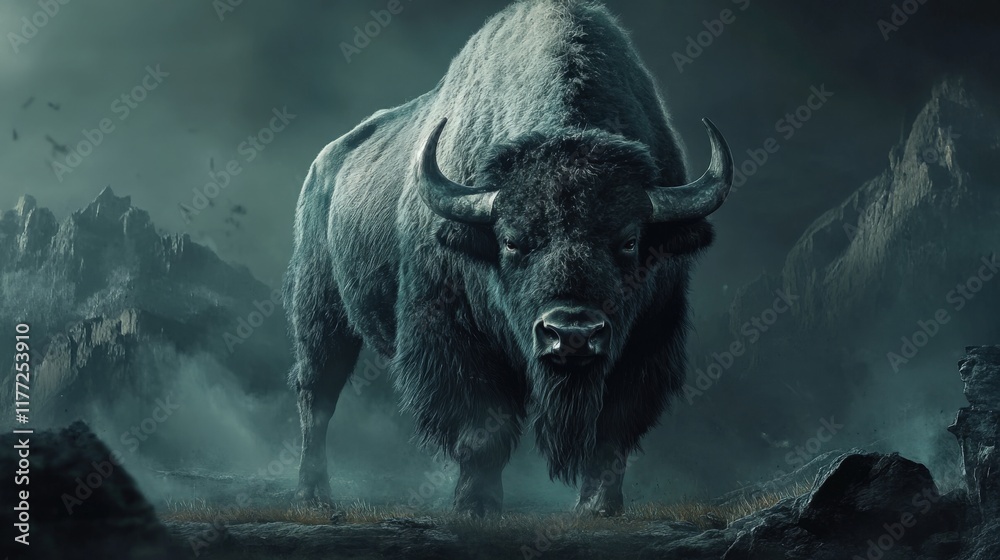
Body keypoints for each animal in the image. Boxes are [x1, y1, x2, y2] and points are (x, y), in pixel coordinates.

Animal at [284, 0, 734, 516]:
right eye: (513, 241)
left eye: (628, 241)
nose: (571, 333)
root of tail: (324, 166)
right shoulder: (453, 339)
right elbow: (482, 431)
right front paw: (476, 505)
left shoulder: (648, 339)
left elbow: (612, 431)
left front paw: (598, 508)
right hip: (322, 314)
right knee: (317, 393)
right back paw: (314, 495)